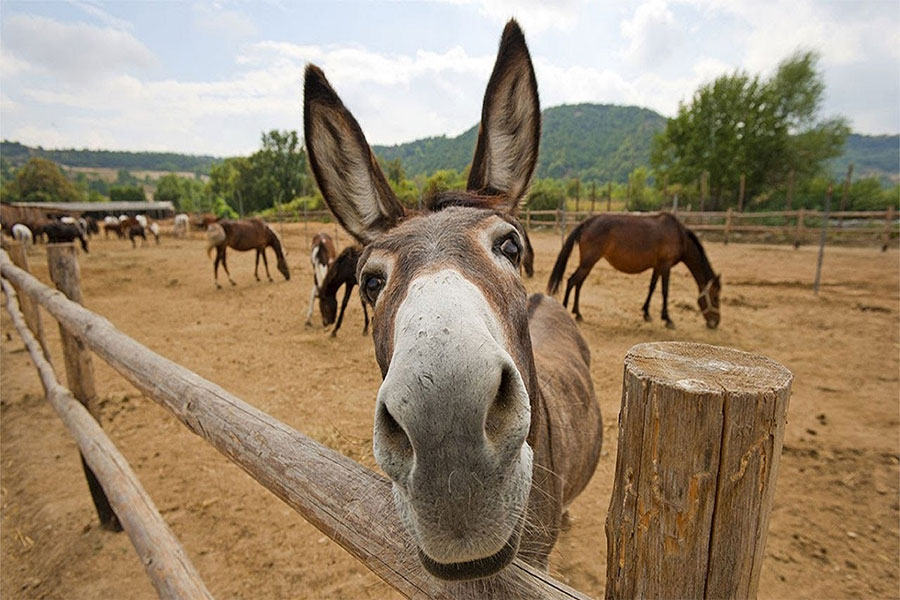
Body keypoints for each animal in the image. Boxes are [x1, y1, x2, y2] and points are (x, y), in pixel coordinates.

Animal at [544, 212, 720, 328]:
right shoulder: (666, 265)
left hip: (588, 263)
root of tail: (587, 223)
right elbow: (665, 291)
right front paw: (667, 319)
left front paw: (646, 313)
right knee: (571, 281)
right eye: (715, 296)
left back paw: (578, 313)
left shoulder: (657, 266)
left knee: (578, 283)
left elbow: (652, 287)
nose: (715, 322)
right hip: (588, 261)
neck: (679, 235)